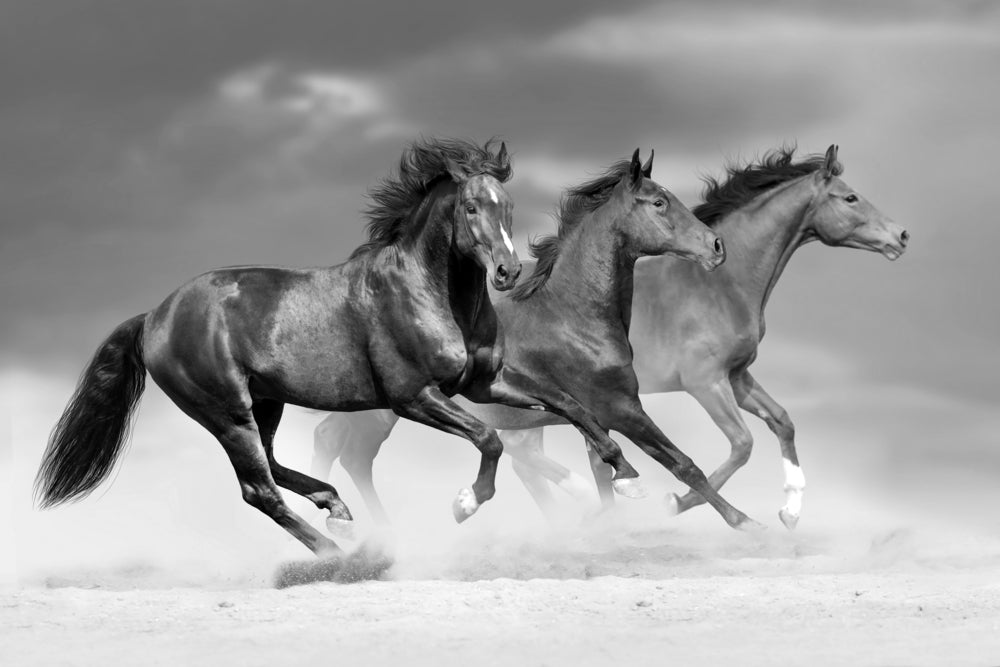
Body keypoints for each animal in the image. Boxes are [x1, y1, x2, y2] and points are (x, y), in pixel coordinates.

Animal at [34, 138, 523, 558]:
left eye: (508, 206)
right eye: (471, 206)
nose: (508, 271)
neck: (426, 293)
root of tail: (155, 316)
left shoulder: (483, 385)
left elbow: (539, 407)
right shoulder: (414, 397)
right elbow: (489, 437)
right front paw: (465, 503)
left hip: (265, 403)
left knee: (271, 466)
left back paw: (338, 513)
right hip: (228, 415)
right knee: (259, 489)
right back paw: (339, 555)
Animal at [312, 144, 908, 530]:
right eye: (851, 198)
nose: (901, 235)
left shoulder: (735, 376)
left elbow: (781, 423)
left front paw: (789, 510)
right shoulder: (689, 386)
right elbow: (715, 454)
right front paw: (699, 510)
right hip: (392, 407)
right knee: (344, 448)